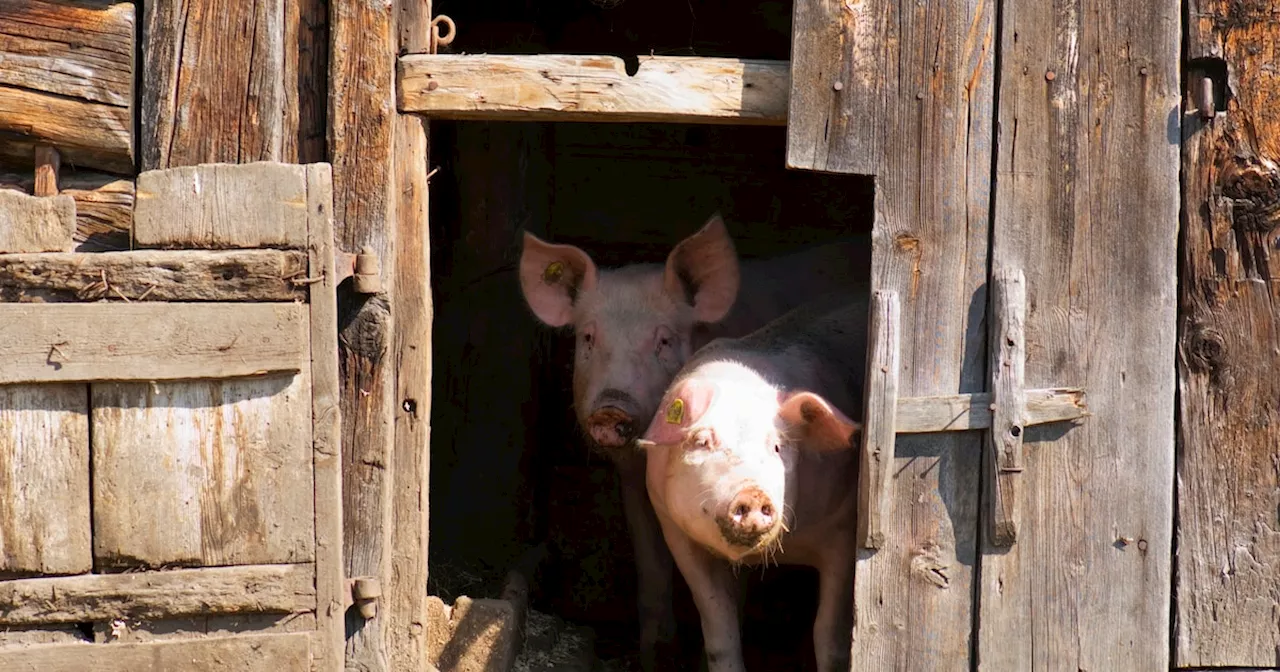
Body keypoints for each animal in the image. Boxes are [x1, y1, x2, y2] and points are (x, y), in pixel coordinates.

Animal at [632, 291, 870, 670]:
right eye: (703, 441)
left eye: (777, 447)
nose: (753, 493)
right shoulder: (676, 532)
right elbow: (720, 628)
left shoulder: (843, 530)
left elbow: (828, 635)